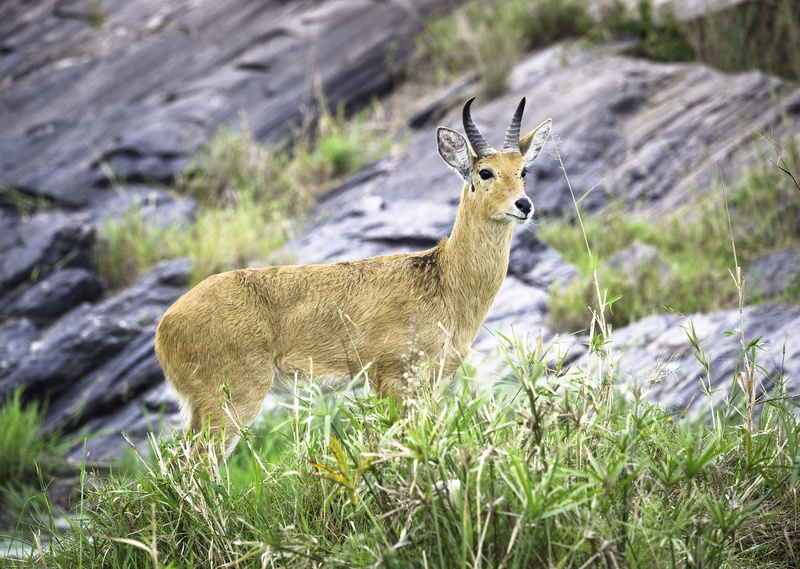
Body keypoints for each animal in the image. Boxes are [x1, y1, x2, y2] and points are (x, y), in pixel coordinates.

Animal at [155, 97, 552, 460]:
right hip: (232, 399)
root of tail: (165, 325)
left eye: (523, 171)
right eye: (485, 172)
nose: (524, 205)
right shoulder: (390, 377)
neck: (443, 281)